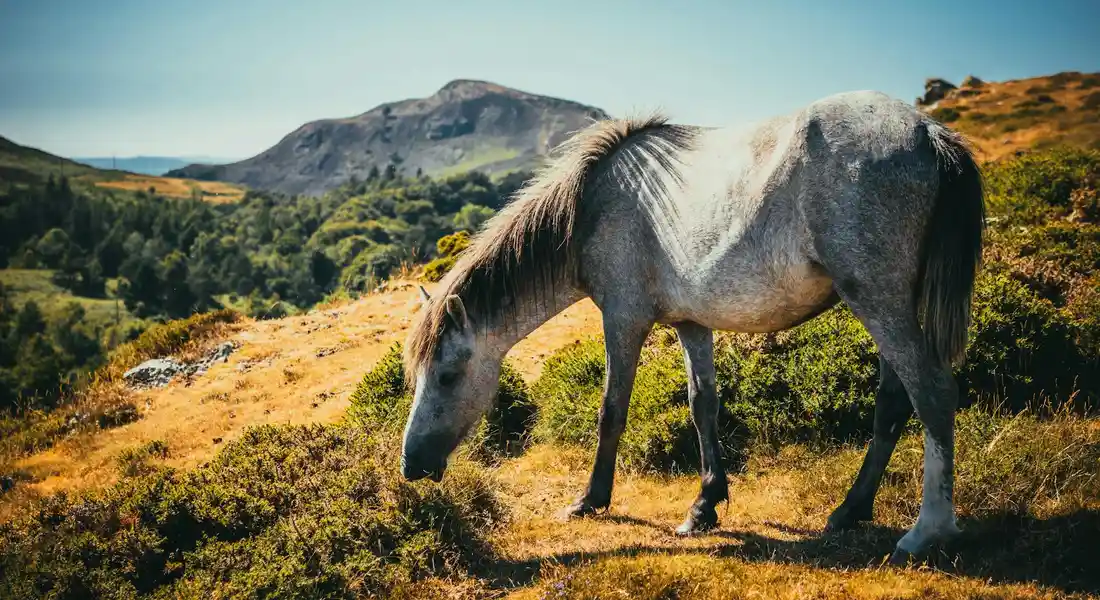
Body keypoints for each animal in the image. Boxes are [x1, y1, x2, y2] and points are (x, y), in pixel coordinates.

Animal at [399, 89, 986, 564]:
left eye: (448, 375)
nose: (412, 465)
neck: (593, 206)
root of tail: (926, 131)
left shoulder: (624, 318)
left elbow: (611, 409)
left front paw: (591, 500)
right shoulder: (690, 322)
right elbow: (703, 404)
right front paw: (705, 504)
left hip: (879, 300)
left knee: (932, 392)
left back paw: (926, 532)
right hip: (886, 305)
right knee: (893, 401)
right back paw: (850, 510)